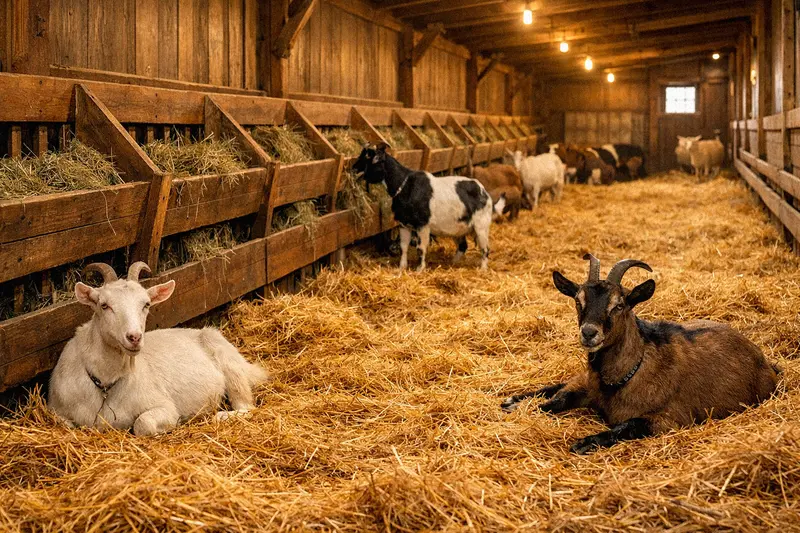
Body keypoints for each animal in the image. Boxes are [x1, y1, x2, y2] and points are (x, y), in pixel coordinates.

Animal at [48, 262, 269, 436]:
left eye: (146, 304)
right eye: (104, 305)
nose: (134, 337)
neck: (104, 384)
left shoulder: (164, 406)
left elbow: (143, 424)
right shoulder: (56, 410)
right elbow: (64, 424)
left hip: (229, 364)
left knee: (246, 406)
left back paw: (221, 416)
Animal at [353, 143, 493, 270]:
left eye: (368, 156)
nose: (353, 168)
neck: (405, 186)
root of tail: (483, 191)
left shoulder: (422, 225)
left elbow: (420, 248)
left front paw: (419, 269)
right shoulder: (404, 224)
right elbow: (403, 247)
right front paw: (402, 267)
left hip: (481, 226)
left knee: (485, 249)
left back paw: (482, 269)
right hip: (460, 229)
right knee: (463, 246)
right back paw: (452, 264)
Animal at [501, 255, 780, 454]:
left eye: (619, 304)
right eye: (578, 300)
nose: (589, 333)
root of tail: (767, 363)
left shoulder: (670, 418)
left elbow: (628, 425)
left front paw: (585, 442)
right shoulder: (586, 386)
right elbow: (554, 401)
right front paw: (520, 404)